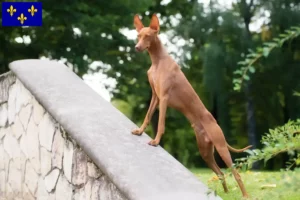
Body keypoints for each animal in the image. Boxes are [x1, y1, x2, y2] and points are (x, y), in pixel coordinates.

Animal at [131, 13, 251, 198]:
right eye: (138, 36)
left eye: (148, 36)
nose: (137, 47)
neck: (158, 61)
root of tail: (214, 125)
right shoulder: (155, 97)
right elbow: (148, 116)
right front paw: (140, 131)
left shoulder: (164, 98)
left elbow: (161, 124)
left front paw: (156, 141)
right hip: (205, 152)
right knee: (221, 173)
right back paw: (223, 193)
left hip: (221, 147)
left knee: (235, 172)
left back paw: (244, 195)